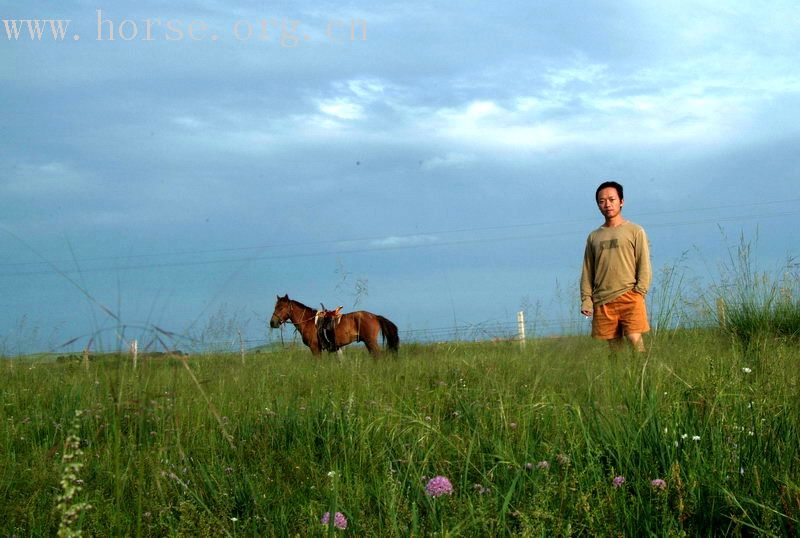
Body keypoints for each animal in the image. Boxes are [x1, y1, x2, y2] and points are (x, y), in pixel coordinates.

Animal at [270, 294, 398, 352]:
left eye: (281, 307)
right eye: (275, 306)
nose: (272, 323)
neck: (309, 322)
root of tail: (375, 316)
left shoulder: (315, 348)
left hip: (370, 342)